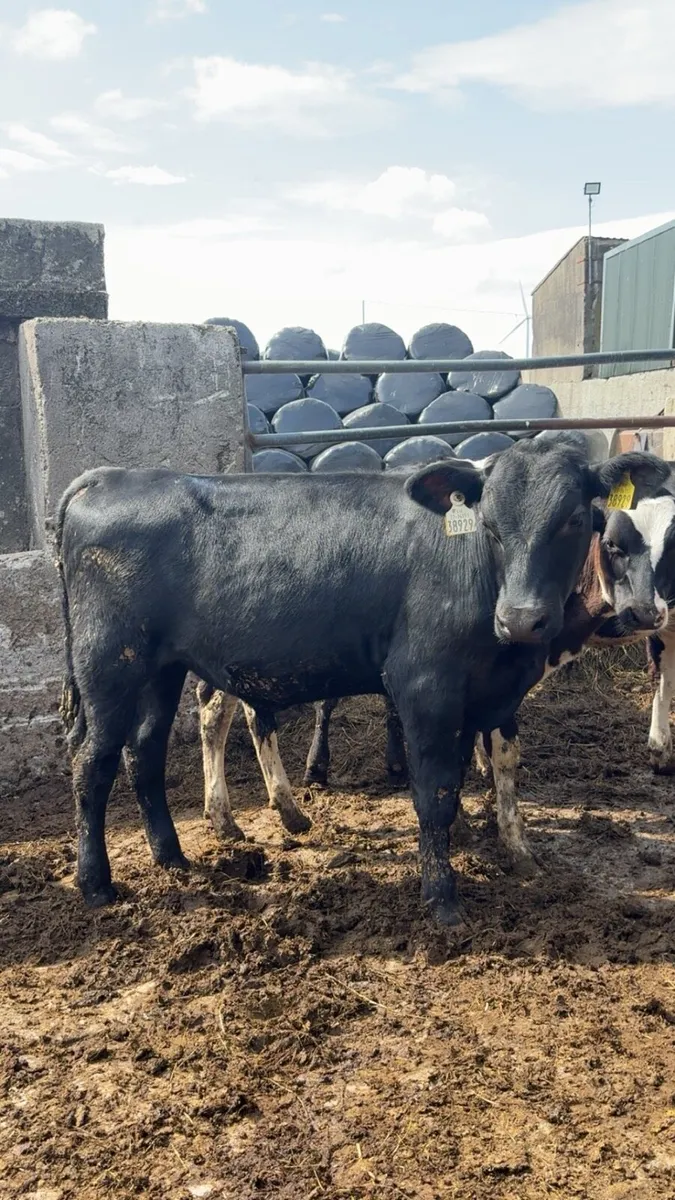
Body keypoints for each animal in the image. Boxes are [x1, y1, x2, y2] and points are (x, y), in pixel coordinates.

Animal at [55, 443, 668, 922]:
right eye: (490, 524)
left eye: (574, 519)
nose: (520, 619)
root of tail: (112, 476)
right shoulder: (424, 685)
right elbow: (434, 794)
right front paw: (442, 899)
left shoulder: (487, 697)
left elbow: (474, 778)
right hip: (108, 665)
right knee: (92, 762)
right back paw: (96, 883)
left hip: (160, 670)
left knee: (144, 752)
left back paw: (172, 856)